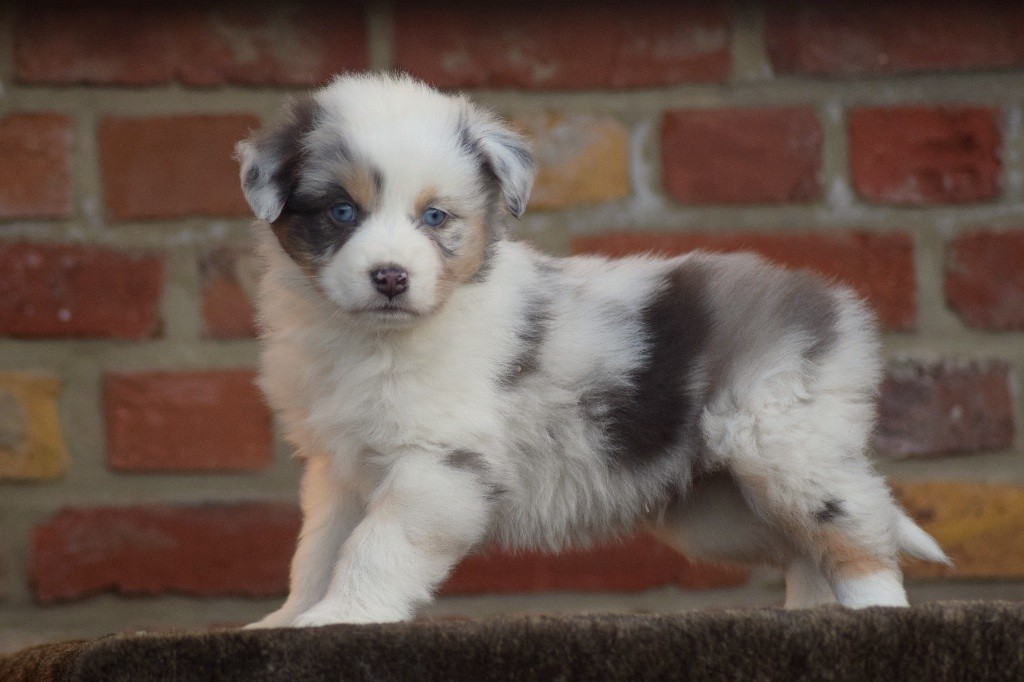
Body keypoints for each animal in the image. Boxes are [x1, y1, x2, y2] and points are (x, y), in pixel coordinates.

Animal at [235, 73, 950, 627]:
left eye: (434, 217)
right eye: (341, 212)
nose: (390, 277)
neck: (374, 339)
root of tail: (825, 299)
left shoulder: (440, 462)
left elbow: (376, 545)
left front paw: (343, 616)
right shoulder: (339, 467)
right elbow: (317, 550)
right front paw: (288, 620)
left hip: (786, 444)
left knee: (855, 525)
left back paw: (876, 612)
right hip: (718, 505)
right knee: (802, 546)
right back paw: (809, 615)